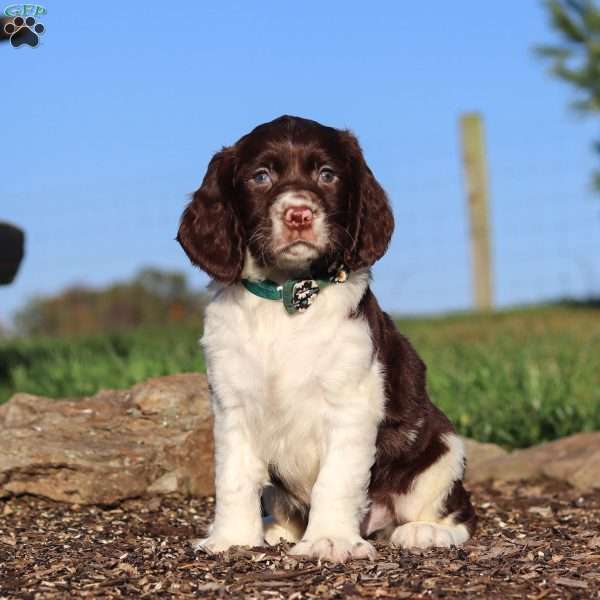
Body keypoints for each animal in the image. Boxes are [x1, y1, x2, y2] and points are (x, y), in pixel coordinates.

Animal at [176, 113, 476, 564]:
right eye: (260, 177)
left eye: (327, 175)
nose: (299, 214)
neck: (287, 296)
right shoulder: (231, 406)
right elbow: (233, 478)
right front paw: (231, 538)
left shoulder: (352, 402)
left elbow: (335, 480)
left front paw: (330, 539)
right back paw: (276, 529)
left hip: (442, 447)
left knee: (457, 512)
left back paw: (426, 532)